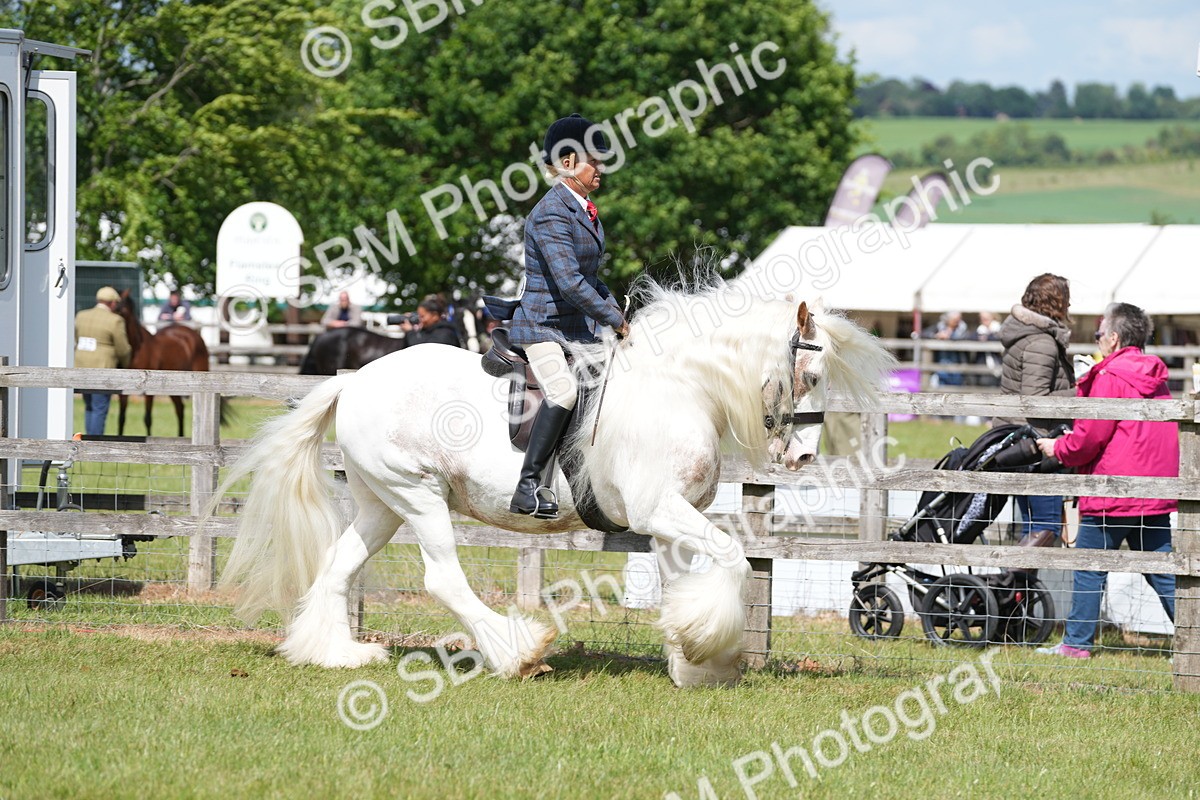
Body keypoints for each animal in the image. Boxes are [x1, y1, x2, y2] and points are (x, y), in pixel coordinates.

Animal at [114, 291, 223, 437]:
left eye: (121, 309)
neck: (137, 348)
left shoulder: (148, 389)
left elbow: (147, 418)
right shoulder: (123, 390)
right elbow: (121, 418)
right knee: (179, 408)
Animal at [208, 278, 896, 687]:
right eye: (809, 376)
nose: (804, 457)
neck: (679, 388)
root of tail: (353, 381)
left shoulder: (673, 517)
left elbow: (688, 583)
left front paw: (694, 662)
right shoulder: (661, 510)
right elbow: (732, 560)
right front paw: (706, 648)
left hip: (383, 501)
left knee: (338, 565)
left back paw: (335, 654)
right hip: (418, 496)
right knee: (442, 578)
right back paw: (516, 653)